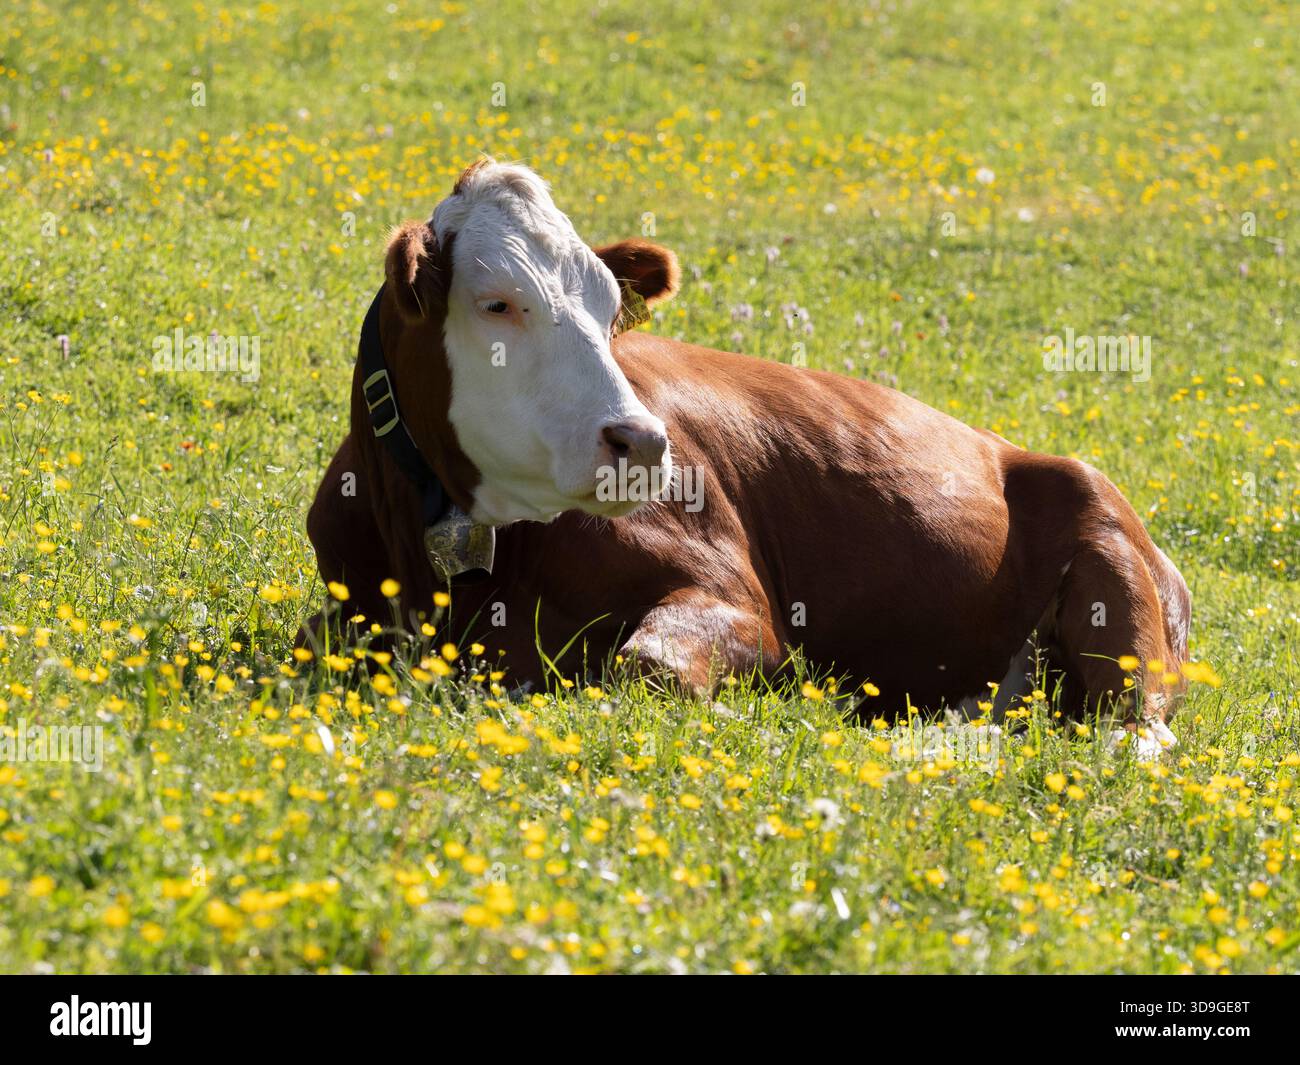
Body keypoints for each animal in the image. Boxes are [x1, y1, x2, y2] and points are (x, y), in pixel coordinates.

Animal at [303, 159, 1190, 757]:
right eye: (497, 303)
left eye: (608, 307)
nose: (642, 441)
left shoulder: (742, 603)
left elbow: (648, 667)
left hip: (1115, 582)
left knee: (1133, 730)